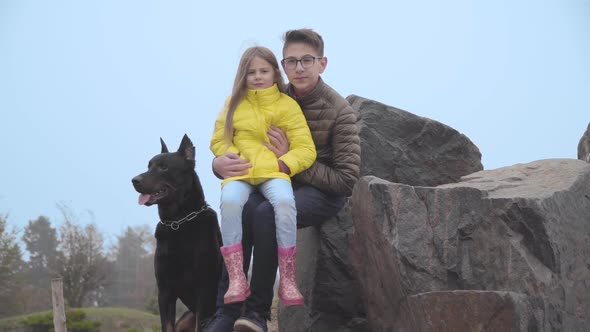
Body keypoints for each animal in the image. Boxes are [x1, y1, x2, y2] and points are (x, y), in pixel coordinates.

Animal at [133, 134, 223, 332]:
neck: (178, 222)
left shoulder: (203, 289)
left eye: (164, 167)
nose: (134, 180)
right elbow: (166, 325)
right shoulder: (165, 291)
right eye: (148, 165)